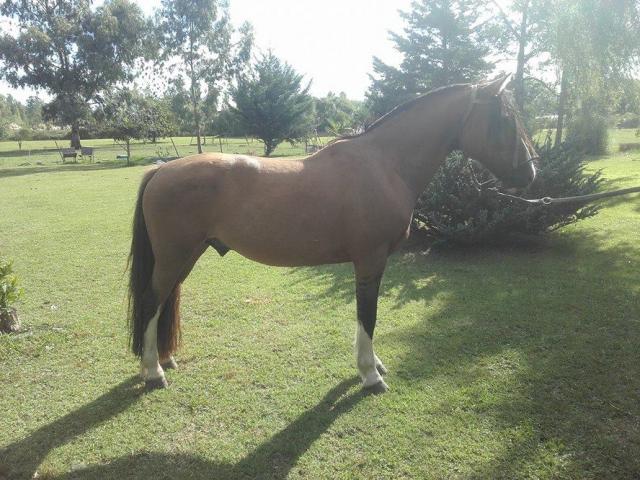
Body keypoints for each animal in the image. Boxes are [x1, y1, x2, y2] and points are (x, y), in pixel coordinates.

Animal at [128, 75, 538, 393]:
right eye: (504, 118)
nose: (531, 173)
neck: (384, 164)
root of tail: (161, 171)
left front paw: (374, 365)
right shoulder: (370, 261)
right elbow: (367, 315)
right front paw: (370, 375)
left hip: (185, 257)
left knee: (164, 301)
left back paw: (165, 359)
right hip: (173, 258)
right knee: (151, 301)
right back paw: (154, 372)